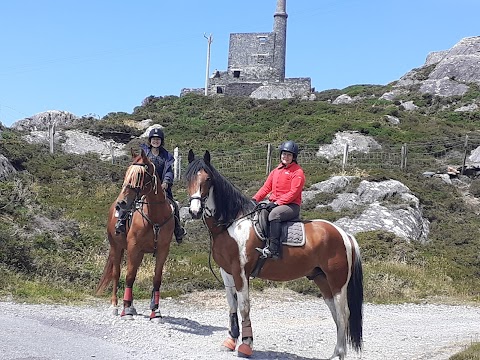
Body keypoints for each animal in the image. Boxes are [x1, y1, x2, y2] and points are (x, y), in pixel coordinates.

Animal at [95, 149, 174, 320]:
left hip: (139, 253)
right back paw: (115, 305)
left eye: (139, 175)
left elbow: (156, 279)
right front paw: (126, 310)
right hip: (116, 247)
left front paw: (155, 311)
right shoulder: (133, 247)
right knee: (116, 273)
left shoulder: (163, 250)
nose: (121, 203)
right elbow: (129, 276)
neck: (155, 217)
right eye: (127, 173)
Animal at [186, 150, 362, 360]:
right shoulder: (226, 272)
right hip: (322, 279)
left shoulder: (240, 273)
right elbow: (232, 305)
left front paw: (246, 345)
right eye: (187, 178)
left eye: (208, 179)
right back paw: (336, 352)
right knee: (335, 312)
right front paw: (231, 340)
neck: (232, 224)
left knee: (344, 314)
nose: (194, 211)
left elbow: (244, 307)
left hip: (337, 282)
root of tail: (343, 234)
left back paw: (341, 353)